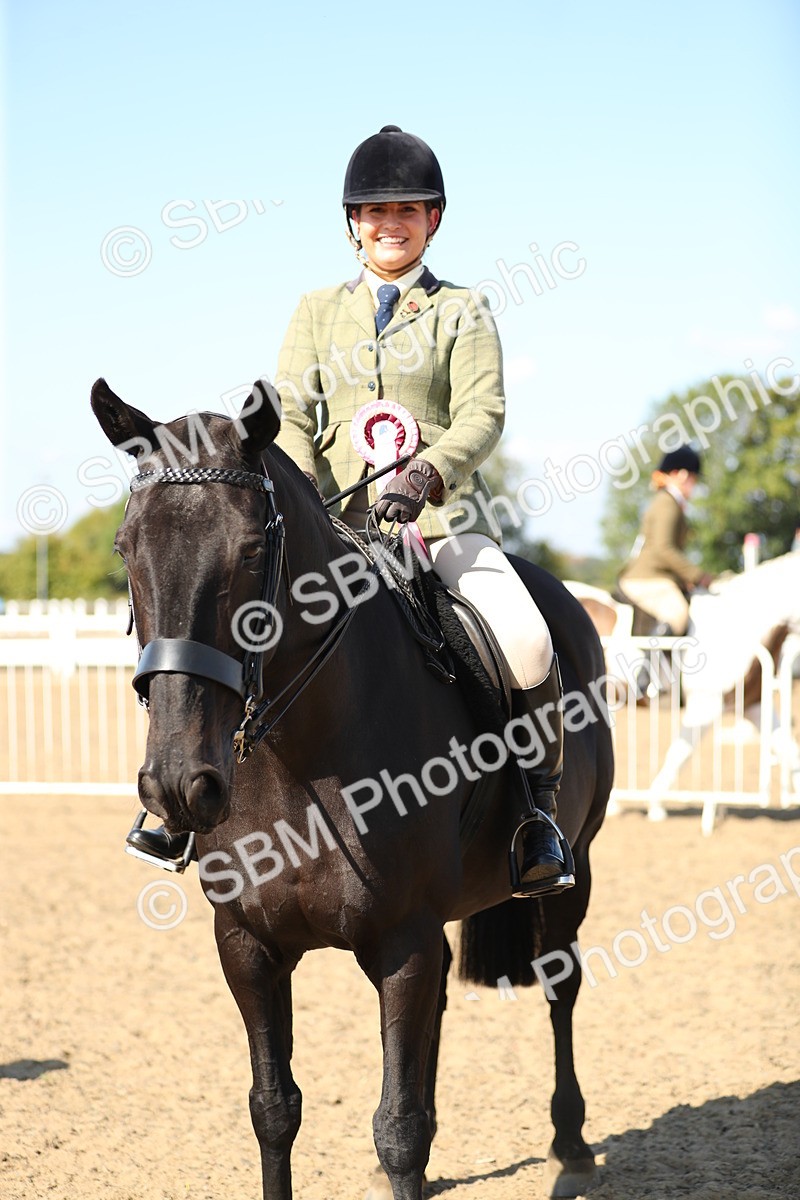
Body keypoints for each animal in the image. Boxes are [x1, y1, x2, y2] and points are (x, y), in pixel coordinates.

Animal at [91, 376, 614, 1200]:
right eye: (125, 549)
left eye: (250, 551)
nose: (176, 784)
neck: (299, 760)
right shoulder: (248, 946)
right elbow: (274, 1109)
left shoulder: (401, 943)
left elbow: (398, 1130)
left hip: (573, 871)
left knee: (561, 983)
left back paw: (571, 1142)